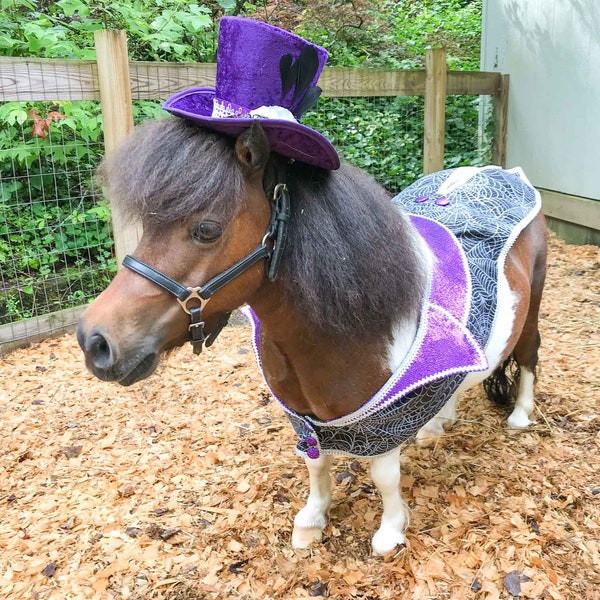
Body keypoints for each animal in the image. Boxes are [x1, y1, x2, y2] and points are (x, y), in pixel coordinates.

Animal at [77, 119, 548, 556]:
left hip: (532, 308)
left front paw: (390, 531)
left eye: (206, 230)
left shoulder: (383, 423)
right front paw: (312, 519)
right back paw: (438, 422)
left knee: (528, 354)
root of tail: (503, 172)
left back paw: (521, 415)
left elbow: (384, 476)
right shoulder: (304, 419)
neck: (338, 334)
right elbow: (314, 464)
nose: (94, 341)